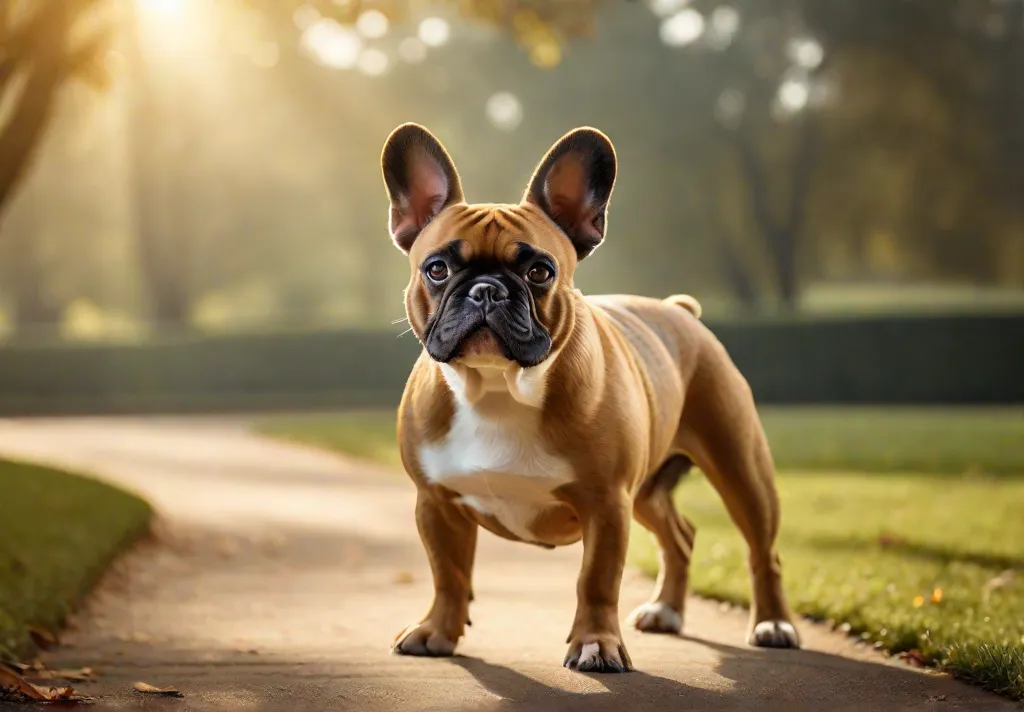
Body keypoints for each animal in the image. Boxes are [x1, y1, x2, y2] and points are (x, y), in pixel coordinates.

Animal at [382, 123, 798, 672]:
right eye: (437, 269)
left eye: (539, 272)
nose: (486, 289)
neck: (497, 386)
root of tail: (679, 310)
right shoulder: (436, 502)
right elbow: (447, 573)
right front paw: (437, 631)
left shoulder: (606, 503)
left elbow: (597, 580)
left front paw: (596, 644)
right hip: (647, 491)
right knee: (680, 537)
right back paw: (667, 610)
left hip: (739, 466)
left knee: (763, 550)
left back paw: (773, 624)